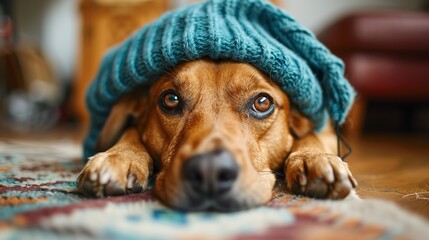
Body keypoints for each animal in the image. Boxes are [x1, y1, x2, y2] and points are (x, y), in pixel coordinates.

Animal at [76, 60, 354, 212]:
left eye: (262, 102)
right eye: (170, 99)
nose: (210, 170)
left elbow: (310, 135)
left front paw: (315, 158)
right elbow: (131, 130)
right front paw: (119, 157)